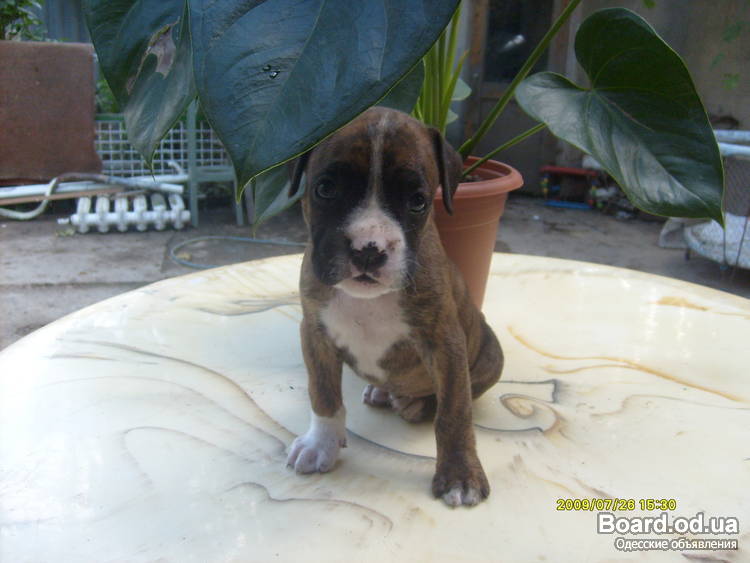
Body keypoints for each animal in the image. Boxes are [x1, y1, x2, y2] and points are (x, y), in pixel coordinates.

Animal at [285, 106, 504, 507]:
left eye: (417, 201)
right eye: (325, 188)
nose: (368, 249)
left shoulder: (445, 342)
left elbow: (455, 411)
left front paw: (459, 474)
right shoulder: (315, 332)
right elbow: (323, 394)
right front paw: (321, 443)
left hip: (490, 355)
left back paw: (416, 404)